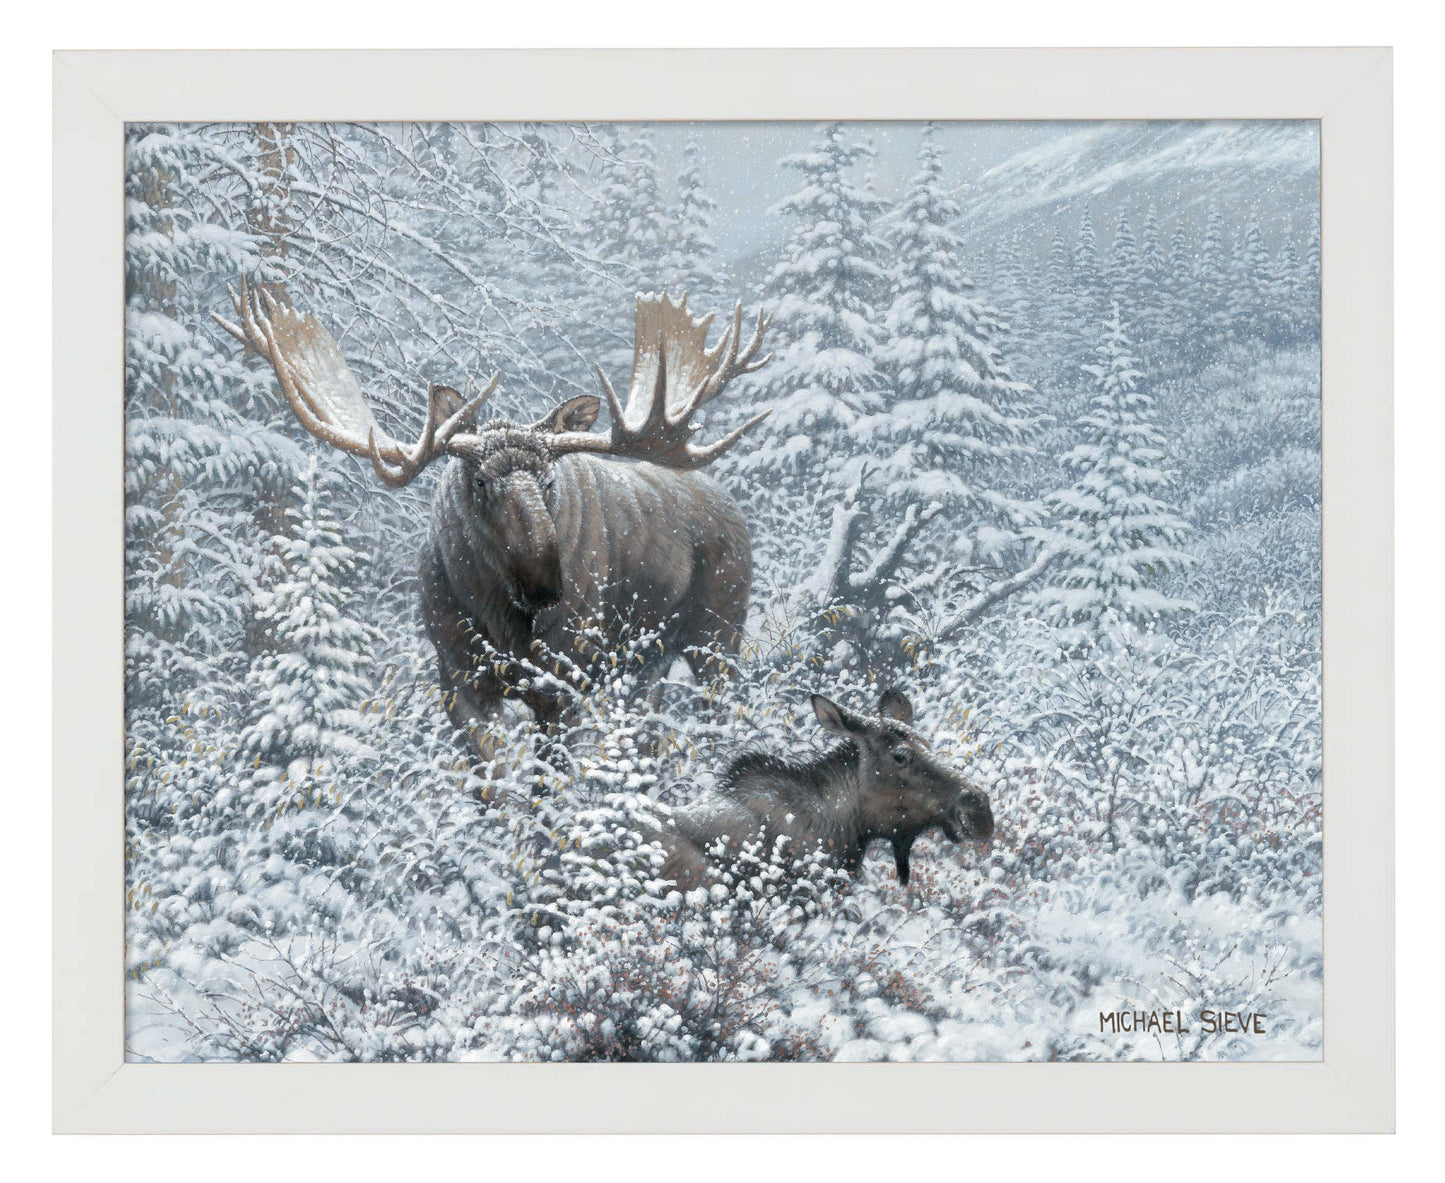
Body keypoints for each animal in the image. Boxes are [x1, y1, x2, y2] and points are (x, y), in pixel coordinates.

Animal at [215, 279, 772, 746]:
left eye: (549, 480)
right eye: (480, 480)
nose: (547, 585)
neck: (499, 620)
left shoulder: (563, 682)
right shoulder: (457, 679)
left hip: (719, 634)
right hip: (647, 665)